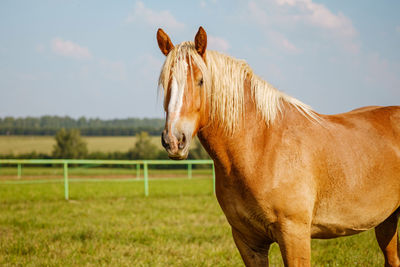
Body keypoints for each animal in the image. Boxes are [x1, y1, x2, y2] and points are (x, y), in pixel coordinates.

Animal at [155, 25, 400, 267]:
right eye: (165, 83)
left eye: (200, 80)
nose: (174, 140)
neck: (261, 147)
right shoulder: (248, 242)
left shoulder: (294, 235)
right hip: (388, 220)